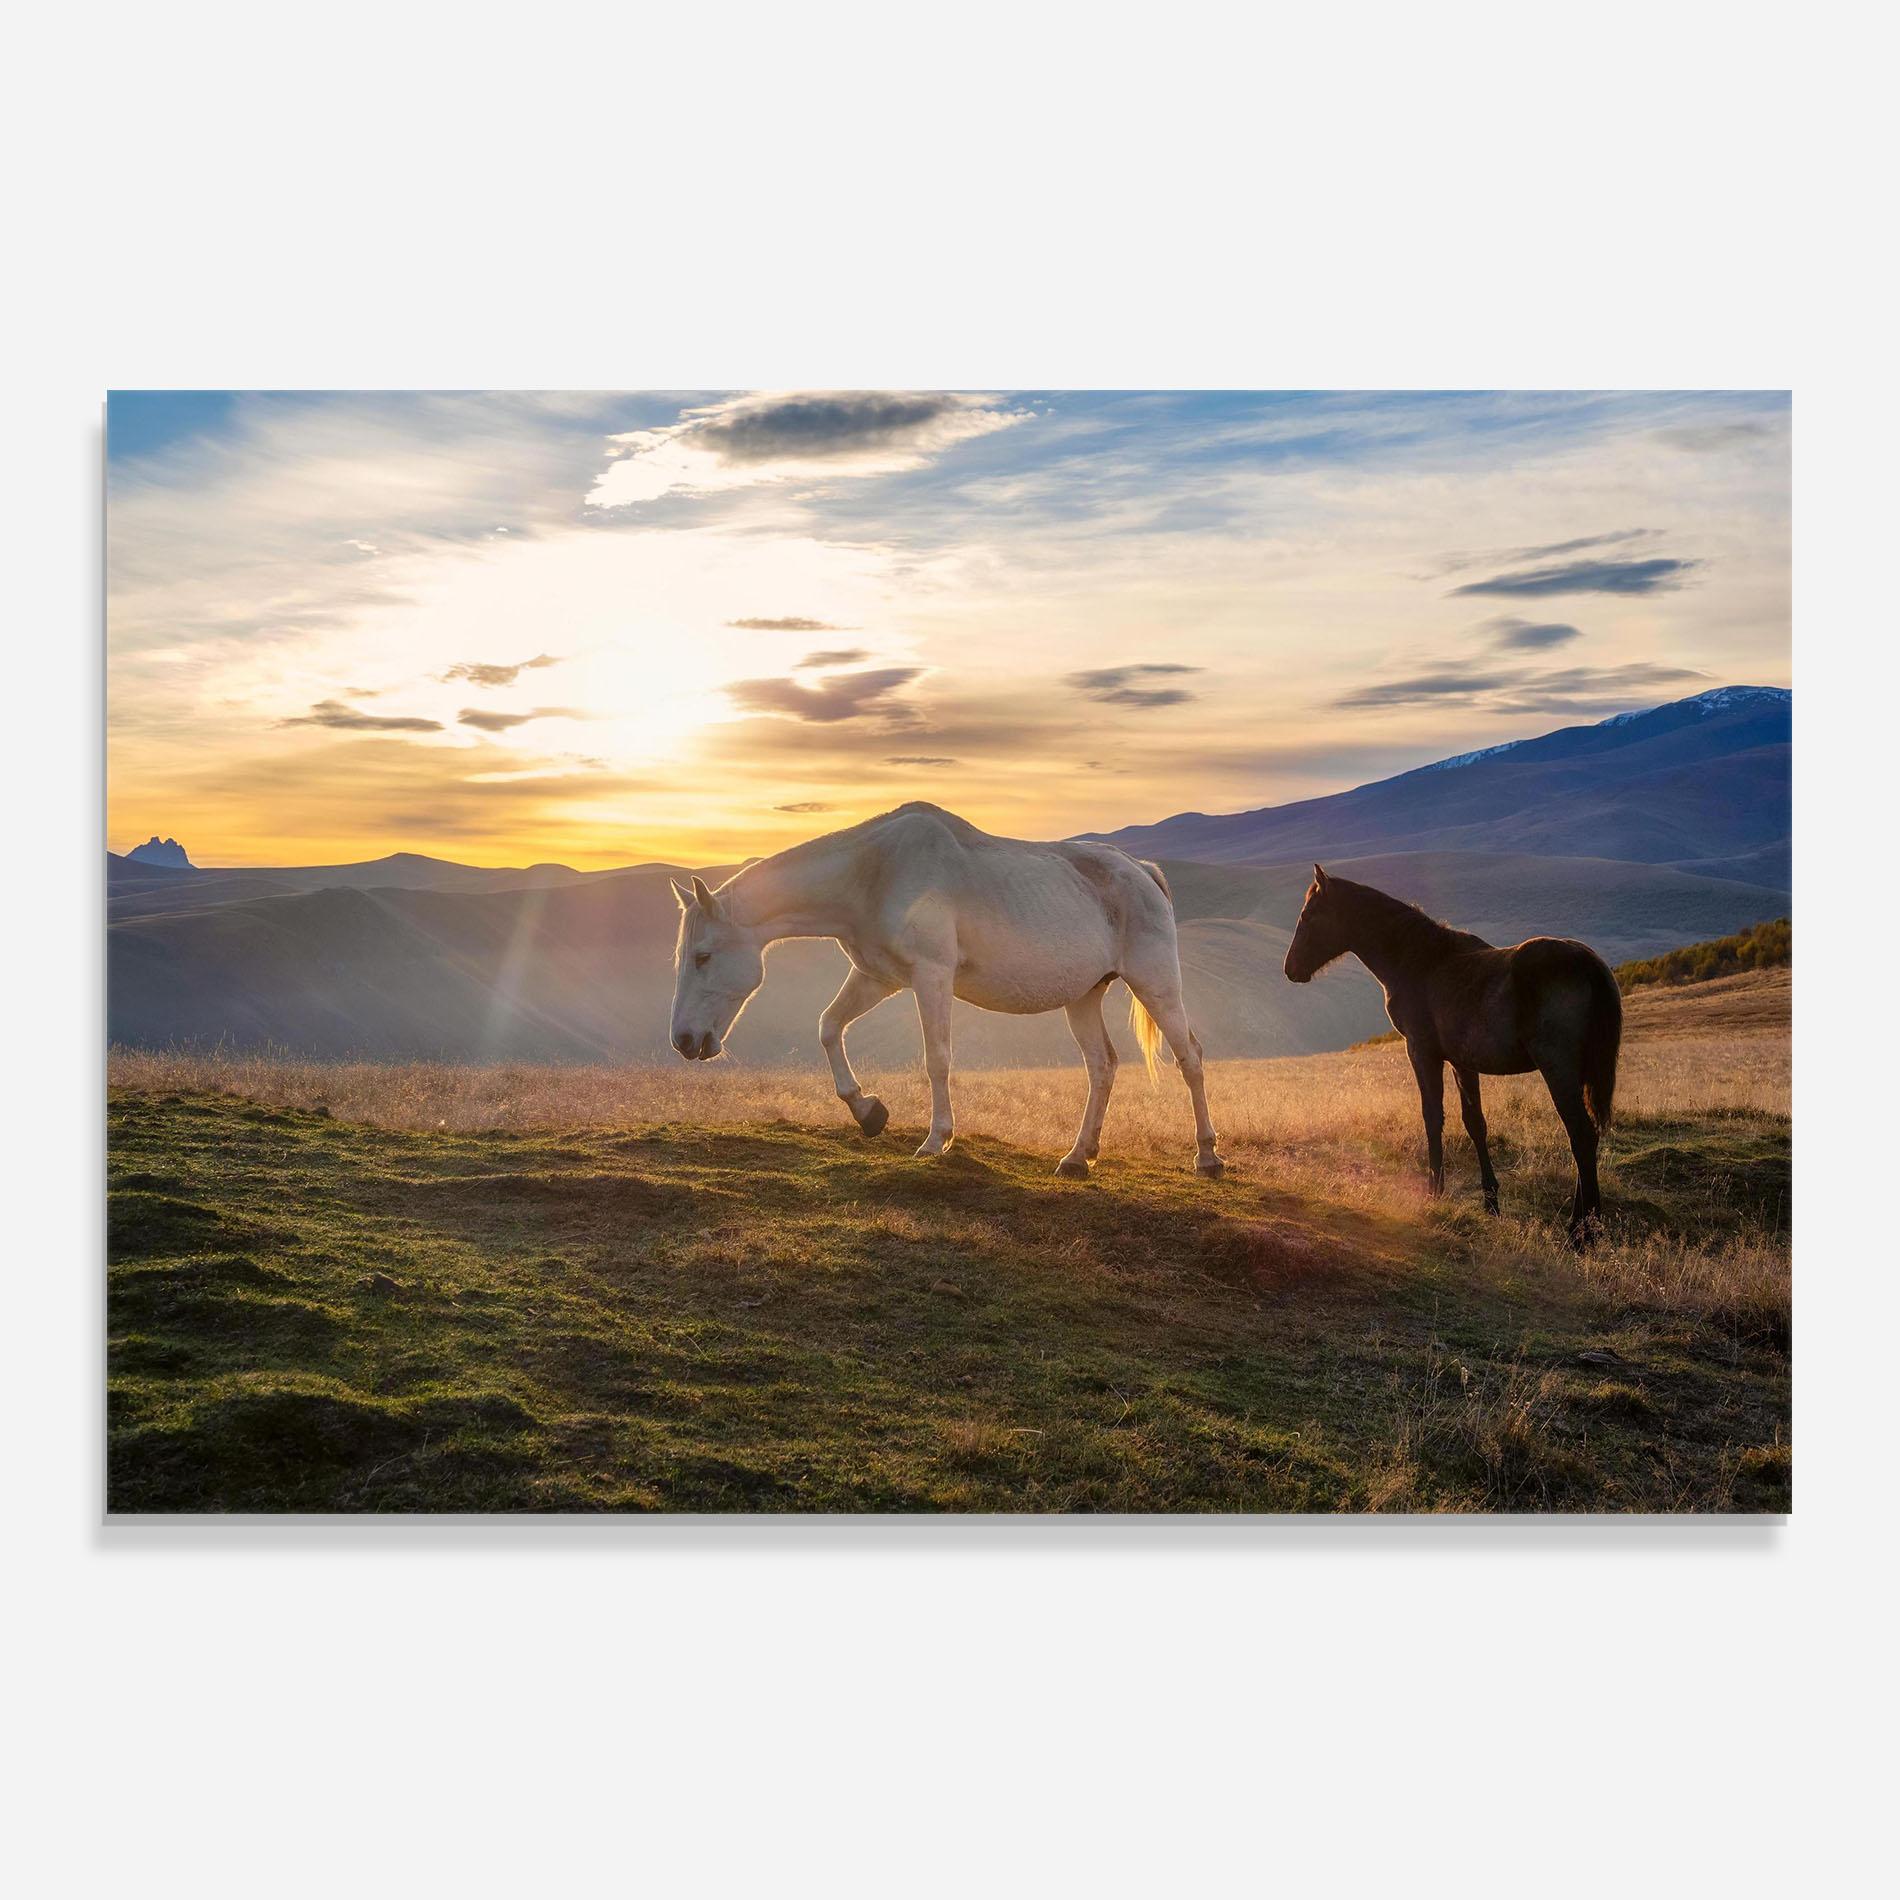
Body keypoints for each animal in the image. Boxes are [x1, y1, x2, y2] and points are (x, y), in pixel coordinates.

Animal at [666, 802, 1224, 1178]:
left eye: (703, 956)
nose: (685, 1041)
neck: (872, 873)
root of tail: (1143, 872)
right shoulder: (878, 977)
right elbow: (828, 1027)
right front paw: (868, 1112)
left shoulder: (930, 977)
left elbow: (936, 1058)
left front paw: (937, 1140)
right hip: (1084, 996)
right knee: (1102, 1066)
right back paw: (1077, 1157)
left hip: (1155, 982)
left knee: (1189, 1057)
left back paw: (1207, 1155)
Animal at [1283, 866, 1622, 1244]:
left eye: (1308, 915)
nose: (1290, 968)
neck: (1421, 961)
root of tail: (1587, 963)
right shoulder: (1463, 1062)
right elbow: (1476, 1124)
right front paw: (1490, 1203)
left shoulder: (1421, 1052)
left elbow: (1432, 1118)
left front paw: (1434, 1192)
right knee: (1585, 1136)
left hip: (1558, 1069)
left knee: (1581, 1135)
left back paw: (1582, 1232)